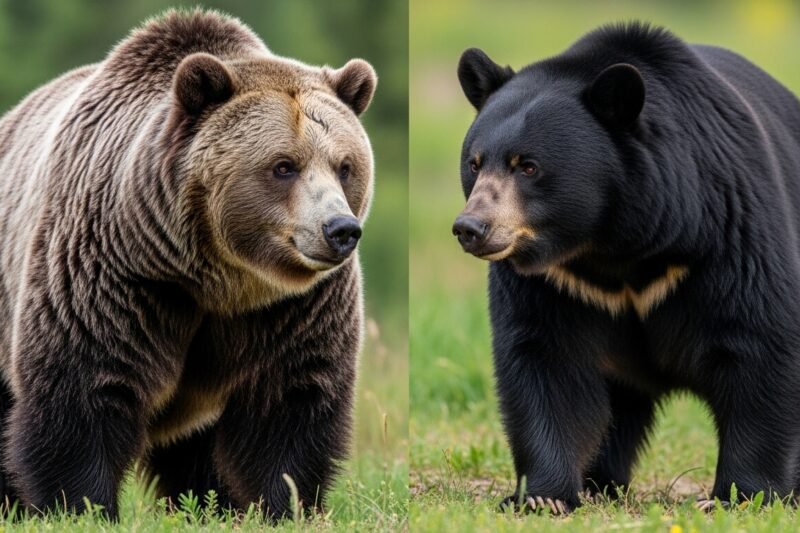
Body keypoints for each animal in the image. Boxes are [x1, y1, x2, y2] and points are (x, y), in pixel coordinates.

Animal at [0, 9, 377, 520]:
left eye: (344, 165)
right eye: (283, 165)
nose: (340, 229)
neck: (216, 276)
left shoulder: (294, 307)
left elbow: (290, 401)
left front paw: (284, 504)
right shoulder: (112, 274)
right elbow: (83, 391)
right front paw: (81, 506)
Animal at [452, 22, 800, 514]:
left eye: (529, 166)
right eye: (475, 163)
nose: (471, 228)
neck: (609, 243)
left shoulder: (730, 231)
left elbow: (757, 344)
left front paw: (739, 497)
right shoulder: (553, 281)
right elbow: (543, 361)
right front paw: (541, 497)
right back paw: (602, 481)